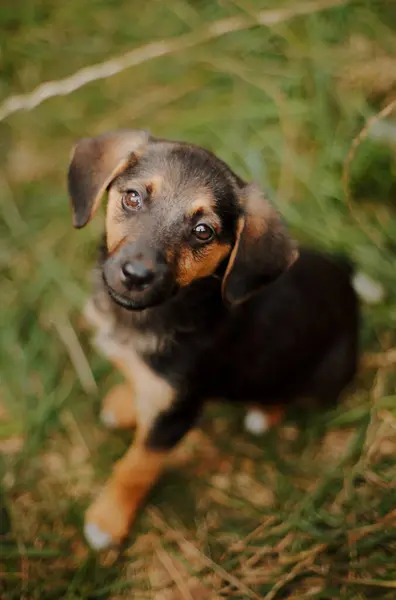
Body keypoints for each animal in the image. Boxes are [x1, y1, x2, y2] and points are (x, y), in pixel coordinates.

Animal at [67, 130, 358, 548]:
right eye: (132, 197)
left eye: (202, 231)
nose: (136, 275)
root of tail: (350, 285)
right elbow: (135, 381)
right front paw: (126, 403)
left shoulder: (178, 414)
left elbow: (136, 467)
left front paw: (108, 520)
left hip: (321, 375)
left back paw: (264, 413)